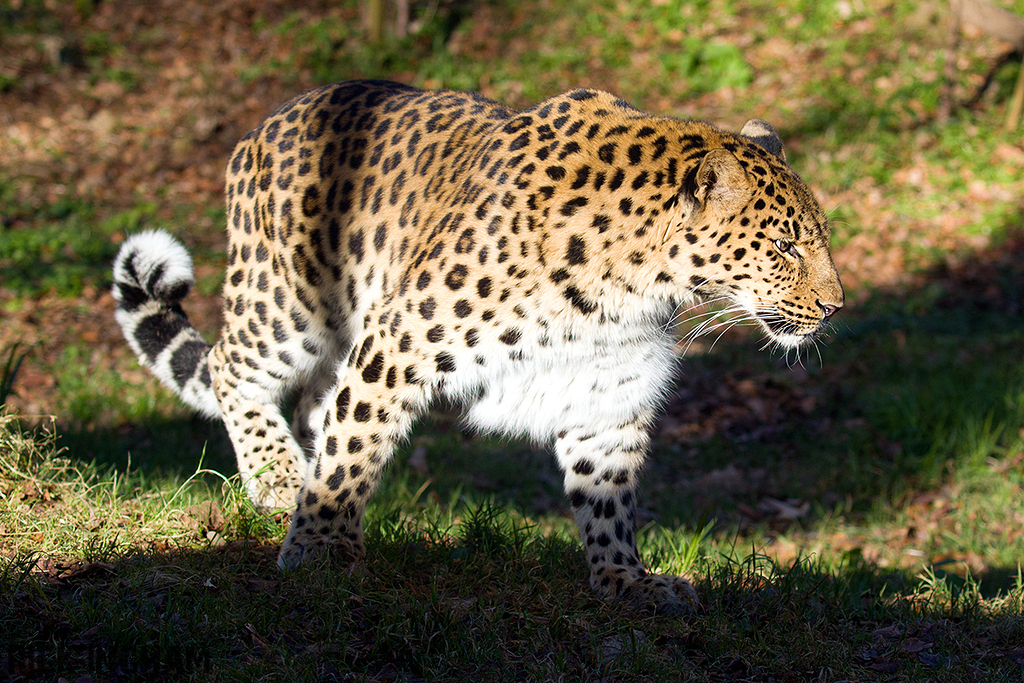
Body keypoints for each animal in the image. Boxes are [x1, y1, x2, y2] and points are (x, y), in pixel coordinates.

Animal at [114, 78, 847, 614]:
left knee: (318, 406)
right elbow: (353, 453)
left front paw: (625, 579)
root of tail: (261, 126)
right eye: (786, 246)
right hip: (286, 302)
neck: (635, 285)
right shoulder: (396, 346)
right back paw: (278, 478)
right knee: (233, 369)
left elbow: (608, 498)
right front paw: (320, 548)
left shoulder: (609, 394)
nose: (835, 306)